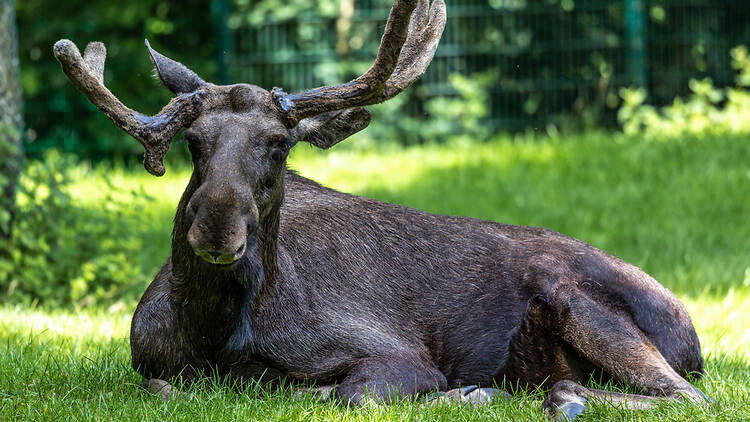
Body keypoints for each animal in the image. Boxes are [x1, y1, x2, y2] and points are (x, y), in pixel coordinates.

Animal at [53, 0, 711, 419]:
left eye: (279, 144)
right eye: (195, 141)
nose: (216, 229)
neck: (217, 329)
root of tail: (695, 337)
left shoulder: (397, 354)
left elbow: (337, 394)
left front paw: (457, 394)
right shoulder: (149, 362)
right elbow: (165, 389)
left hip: (581, 302)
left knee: (690, 396)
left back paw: (544, 398)